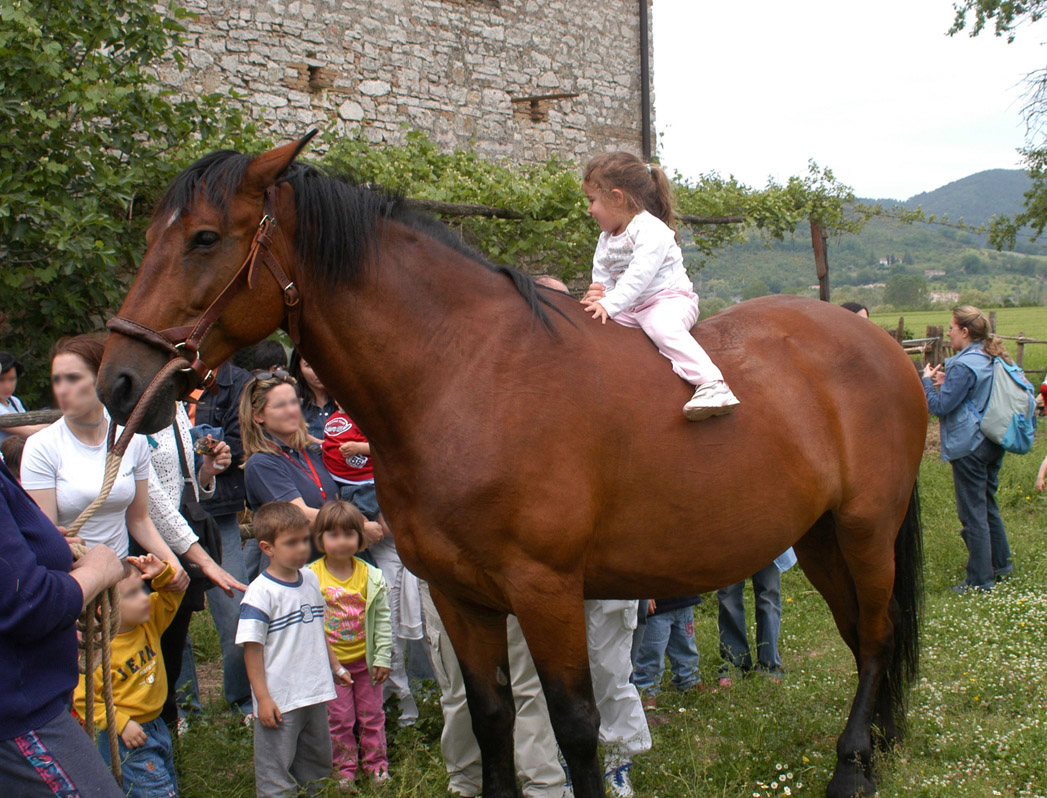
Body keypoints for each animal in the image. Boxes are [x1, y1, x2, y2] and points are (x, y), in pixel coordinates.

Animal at [96, 138, 925, 795]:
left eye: (204, 237)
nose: (119, 383)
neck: (464, 374)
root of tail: (881, 344)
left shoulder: (546, 590)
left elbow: (576, 725)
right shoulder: (461, 596)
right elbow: (492, 717)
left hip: (862, 529)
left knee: (875, 636)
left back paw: (851, 767)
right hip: (817, 538)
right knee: (865, 635)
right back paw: (878, 746)